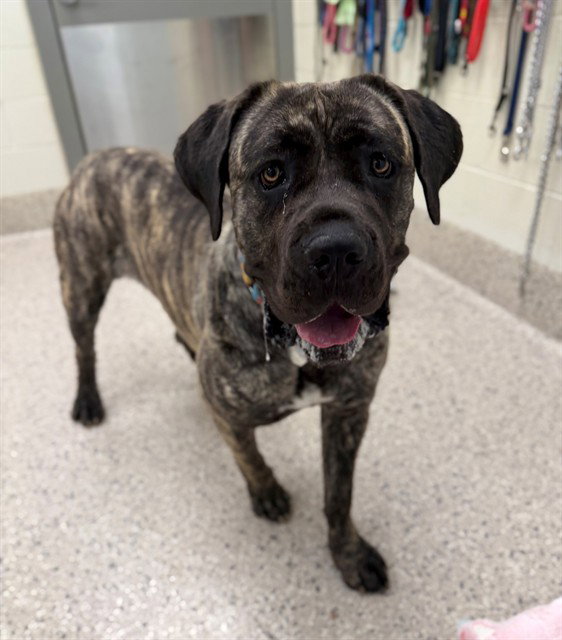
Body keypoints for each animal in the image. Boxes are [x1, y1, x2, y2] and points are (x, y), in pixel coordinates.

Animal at [54, 74, 462, 592]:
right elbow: (246, 453)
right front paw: (266, 490)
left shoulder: (348, 413)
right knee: (84, 348)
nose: (335, 250)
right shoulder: (228, 413)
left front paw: (348, 553)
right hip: (80, 289)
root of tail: (95, 157)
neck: (294, 353)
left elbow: (340, 494)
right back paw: (88, 399)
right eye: (271, 174)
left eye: (380, 163)